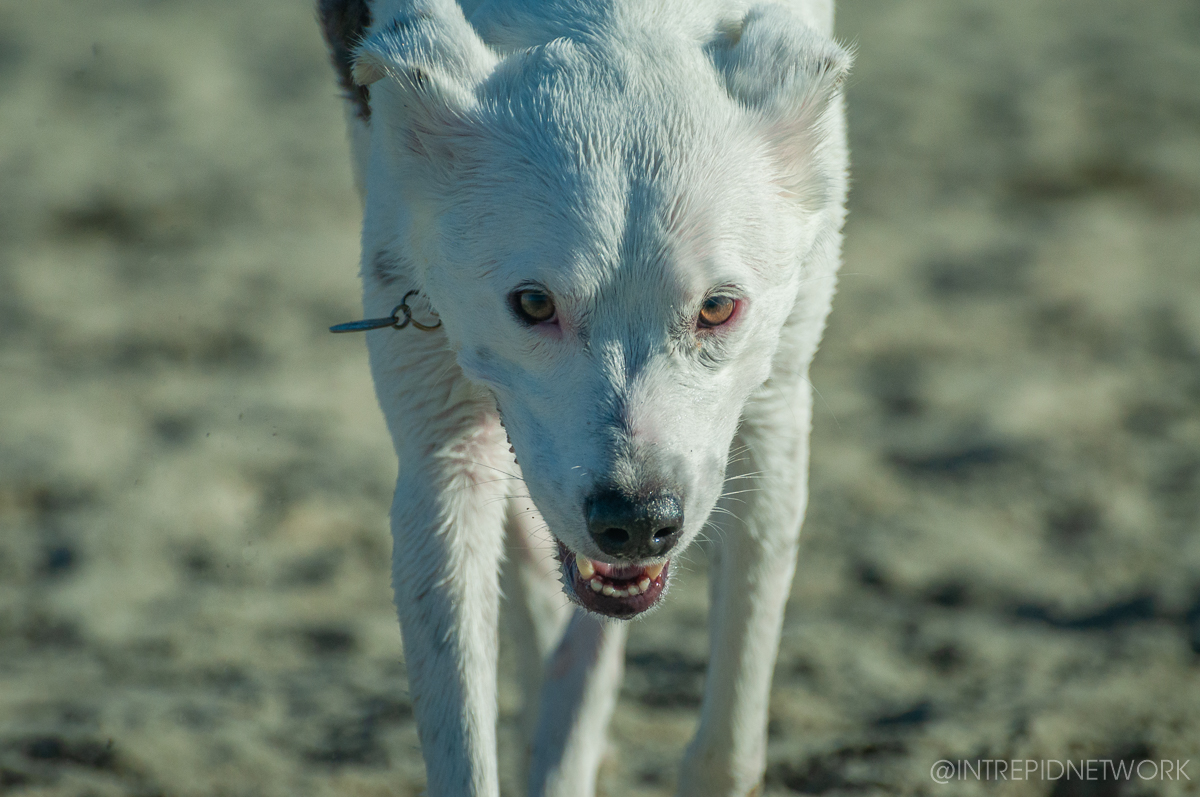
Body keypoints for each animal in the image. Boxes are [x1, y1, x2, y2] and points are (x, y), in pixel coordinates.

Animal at [314, 3, 849, 792]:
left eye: (718, 308)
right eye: (533, 303)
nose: (637, 521)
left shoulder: (775, 405)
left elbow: (730, 728)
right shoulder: (441, 452)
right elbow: (462, 737)